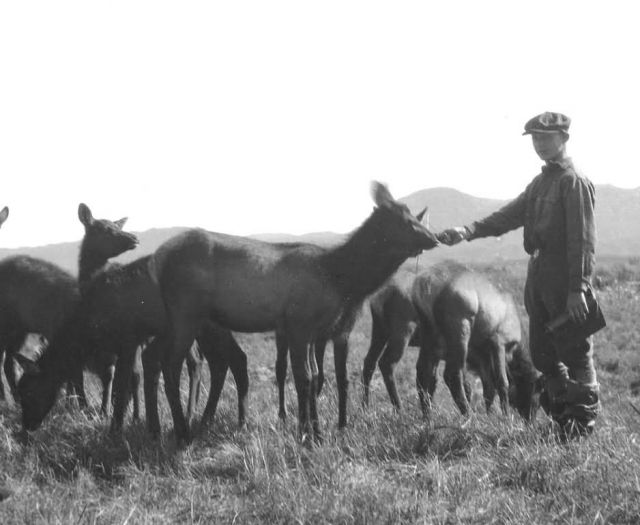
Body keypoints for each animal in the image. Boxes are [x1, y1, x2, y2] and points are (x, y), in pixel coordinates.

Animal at [147, 182, 440, 445]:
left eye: (414, 216)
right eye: (403, 220)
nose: (434, 238)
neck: (339, 279)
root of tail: (157, 259)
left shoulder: (312, 332)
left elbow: (315, 377)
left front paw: (315, 430)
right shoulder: (300, 323)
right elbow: (304, 377)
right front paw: (307, 434)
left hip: (177, 318)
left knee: (158, 356)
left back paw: (159, 428)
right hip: (186, 312)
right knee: (171, 363)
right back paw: (182, 430)